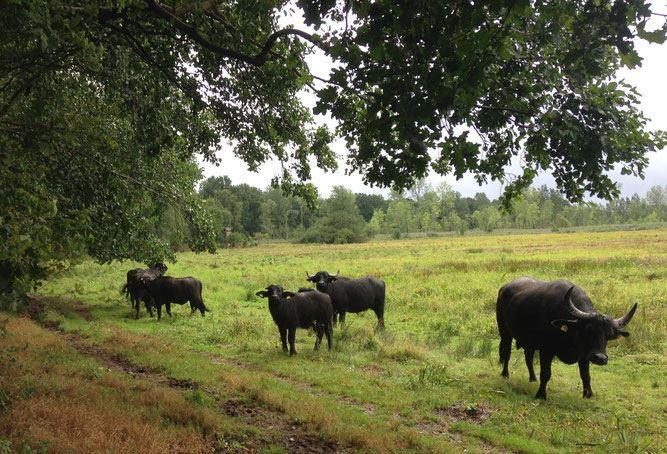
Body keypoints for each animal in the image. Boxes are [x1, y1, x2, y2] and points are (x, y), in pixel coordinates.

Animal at [498, 276, 640, 400]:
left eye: (609, 335)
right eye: (588, 331)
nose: (600, 358)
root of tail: (504, 288)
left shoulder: (585, 354)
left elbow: (586, 375)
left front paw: (588, 395)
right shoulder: (546, 350)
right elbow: (546, 373)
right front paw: (541, 395)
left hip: (530, 342)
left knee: (528, 357)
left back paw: (533, 378)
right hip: (505, 333)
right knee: (507, 354)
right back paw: (505, 374)